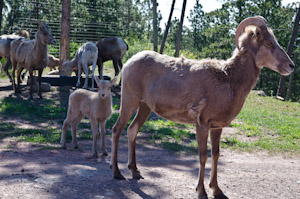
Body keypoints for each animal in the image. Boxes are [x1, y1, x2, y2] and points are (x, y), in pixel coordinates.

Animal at [109, 15, 292, 199]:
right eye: (268, 42)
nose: (291, 66)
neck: (228, 80)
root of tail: (129, 63)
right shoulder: (202, 123)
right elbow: (203, 156)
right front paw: (201, 191)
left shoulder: (216, 127)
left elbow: (216, 155)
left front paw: (217, 190)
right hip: (129, 101)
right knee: (117, 129)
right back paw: (117, 173)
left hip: (144, 107)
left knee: (132, 130)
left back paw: (135, 172)